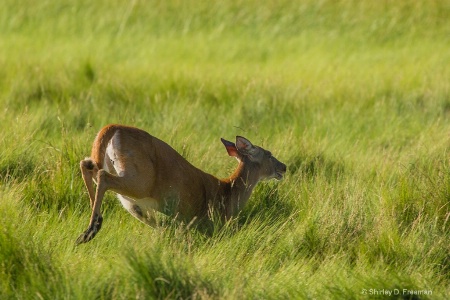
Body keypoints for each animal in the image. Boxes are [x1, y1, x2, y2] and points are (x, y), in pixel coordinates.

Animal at [75, 124, 286, 244]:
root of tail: (113, 127)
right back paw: (90, 230)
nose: (283, 167)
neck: (228, 192)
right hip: (141, 179)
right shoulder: (212, 221)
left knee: (87, 165)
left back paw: (92, 226)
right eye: (268, 154)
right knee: (102, 176)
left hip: (128, 191)